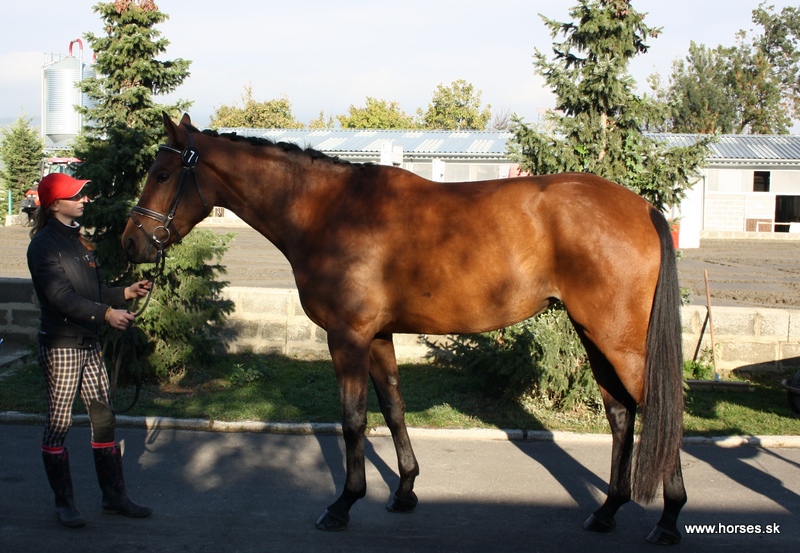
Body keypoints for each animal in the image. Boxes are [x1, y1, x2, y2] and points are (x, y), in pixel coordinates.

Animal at [123, 113, 687, 545]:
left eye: (164, 173)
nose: (131, 243)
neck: (328, 211)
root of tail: (642, 207)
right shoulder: (377, 337)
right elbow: (392, 408)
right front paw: (405, 490)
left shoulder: (346, 337)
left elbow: (353, 418)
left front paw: (343, 504)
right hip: (597, 338)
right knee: (620, 415)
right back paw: (606, 511)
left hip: (619, 342)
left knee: (659, 410)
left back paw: (668, 519)